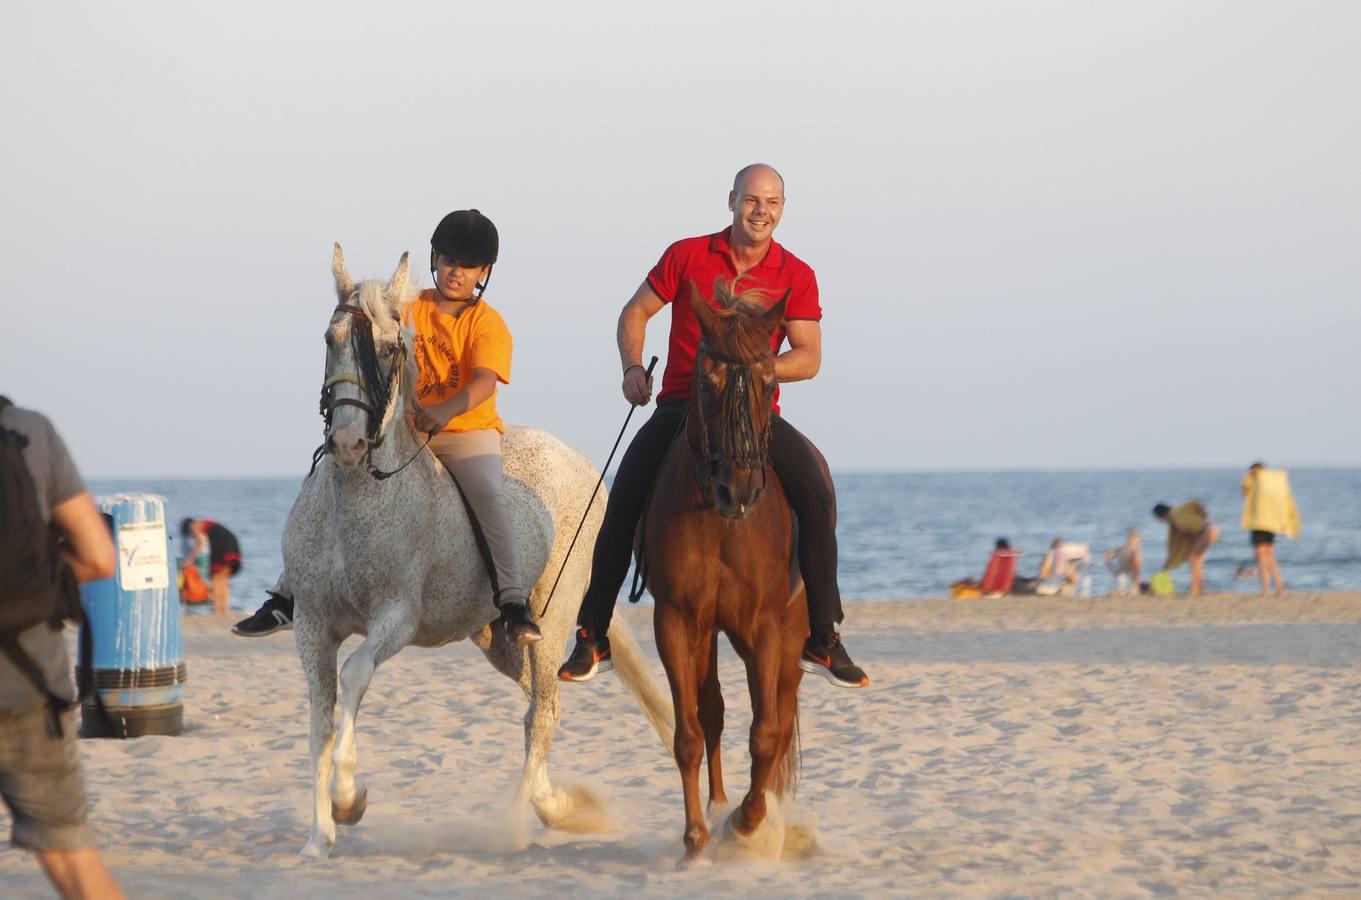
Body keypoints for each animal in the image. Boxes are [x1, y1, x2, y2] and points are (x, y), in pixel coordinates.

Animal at [288, 247, 675, 855]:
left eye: (390, 348)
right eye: (331, 340)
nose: (347, 444)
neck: (356, 499)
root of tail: (584, 464)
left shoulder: (396, 619)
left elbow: (353, 677)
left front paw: (349, 799)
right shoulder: (311, 626)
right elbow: (319, 724)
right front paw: (317, 836)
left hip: (551, 620)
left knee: (543, 713)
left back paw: (517, 824)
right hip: (497, 638)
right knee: (537, 704)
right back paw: (558, 805)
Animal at [639, 279, 800, 865]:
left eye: (769, 380)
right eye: (707, 382)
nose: (740, 490)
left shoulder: (765, 628)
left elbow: (767, 733)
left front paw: (748, 823)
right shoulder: (677, 621)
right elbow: (688, 732)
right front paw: (695, 838)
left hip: (791, 643)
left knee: (780, 716)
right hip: (707, 633)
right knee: (711, 713)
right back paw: (716, 806)